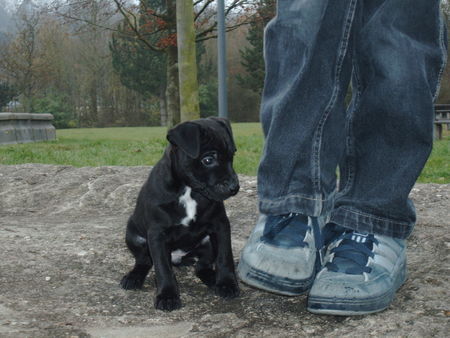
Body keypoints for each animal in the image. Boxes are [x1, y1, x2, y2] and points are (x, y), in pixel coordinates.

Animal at [119, 117, 239, 312]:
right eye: (208, 159)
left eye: (232, 156)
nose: (234, 187)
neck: (188, 190)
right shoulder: (157, 235)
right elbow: (163, 268)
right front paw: (167, 295)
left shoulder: (220, 225)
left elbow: (224, 256)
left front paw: (227, 284)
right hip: (134, 236)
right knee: (144, 261)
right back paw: (134, 277)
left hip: (207, 244)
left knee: (202, 266)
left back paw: (212, 278)